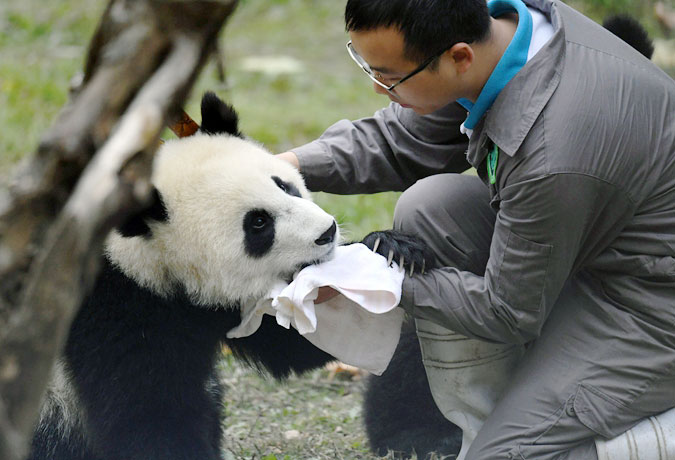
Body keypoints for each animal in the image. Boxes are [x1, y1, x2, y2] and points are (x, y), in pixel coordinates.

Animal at [26, 92, 434, 460]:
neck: (139, 257)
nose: (327, 232)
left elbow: (294, 343)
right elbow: (148, 410)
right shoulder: (113, 312)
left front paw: (392, 247)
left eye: (283, 185)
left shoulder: (211, 307)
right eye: (258, 223)